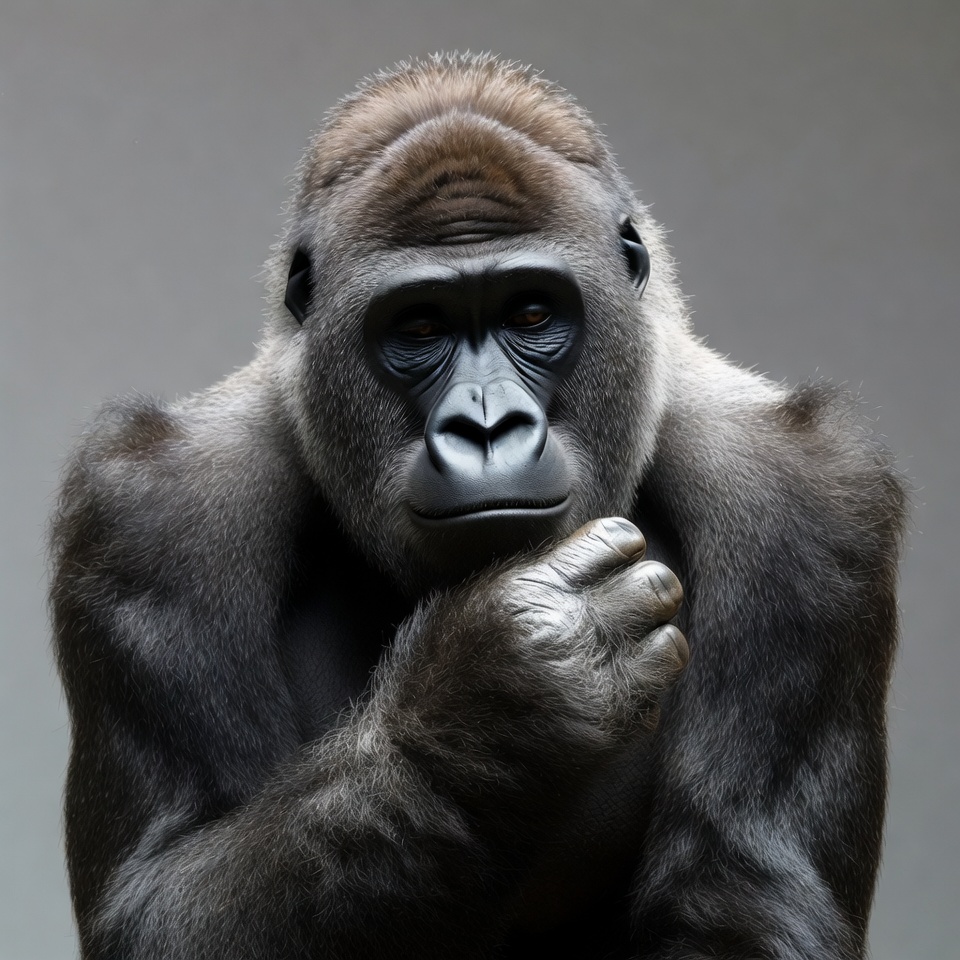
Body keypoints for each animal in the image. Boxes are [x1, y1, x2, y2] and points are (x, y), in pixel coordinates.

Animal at [51, 54, 906, 959]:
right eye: (420, 328)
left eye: (531, 312)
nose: (487, 427)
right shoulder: (150, 510)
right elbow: (161, 899)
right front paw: (487, 708)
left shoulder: (807, 498)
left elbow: (742, 900)